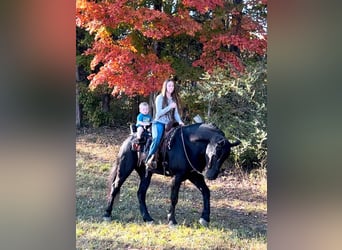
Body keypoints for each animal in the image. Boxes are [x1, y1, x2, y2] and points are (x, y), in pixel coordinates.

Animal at [103, 123, 240, 227]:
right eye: (215, 154)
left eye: (225, 157)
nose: (211, 175)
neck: (189, 145)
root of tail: (130, 138)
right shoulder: (177, 176)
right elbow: (174, 198)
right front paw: (172, 221)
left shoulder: (194, 176)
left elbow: (206, 192)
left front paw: (205, 218)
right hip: (124, 168)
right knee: (115, 186)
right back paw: (107, 214)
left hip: (146, 174)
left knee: (141, 193)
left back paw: (148, 218)